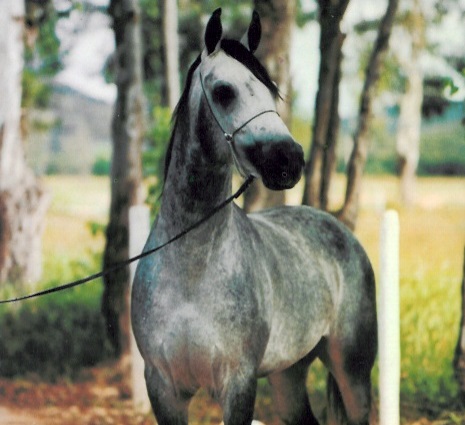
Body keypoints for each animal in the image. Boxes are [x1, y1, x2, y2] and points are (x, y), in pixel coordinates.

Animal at [131, 7, 376, 424]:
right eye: (223, 91)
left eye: (272, 92)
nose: (288, 160)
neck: (191, 272)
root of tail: (341, 232)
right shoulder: (163, 388)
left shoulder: (239, 384)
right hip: (288, 373)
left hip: (352, 372)